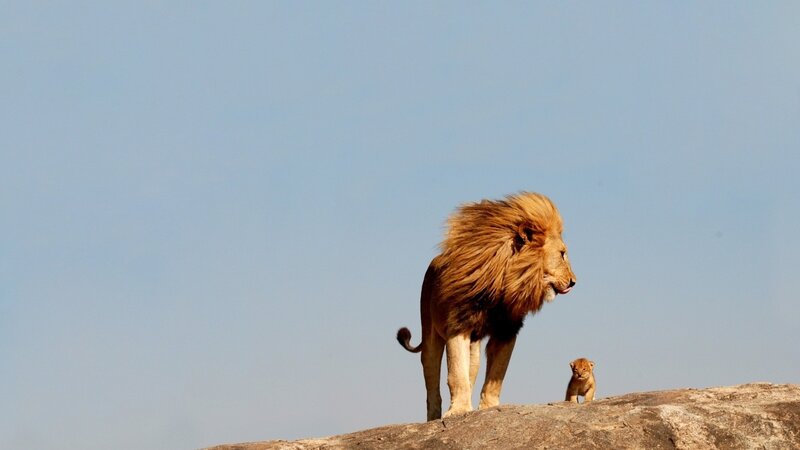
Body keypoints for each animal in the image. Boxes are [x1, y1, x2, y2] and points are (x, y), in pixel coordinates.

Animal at [397, 192, 576, 421]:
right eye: (562, 254)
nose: (574, 282)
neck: (503, 283)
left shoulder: (507, 331)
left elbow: (496, 376)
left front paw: (488, 408)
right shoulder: (458, 325)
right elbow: (456, 374)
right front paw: (458, 410)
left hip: (474, 349)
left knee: (471, 372)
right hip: (430, 335)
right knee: (432, 382)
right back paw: (434, 417)